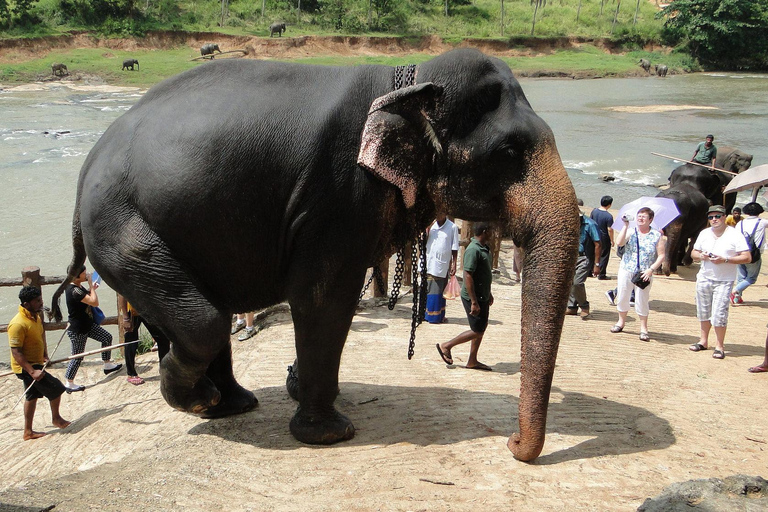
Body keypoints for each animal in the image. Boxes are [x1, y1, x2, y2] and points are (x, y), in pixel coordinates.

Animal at [51, 50, 580, 462]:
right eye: (509, 151)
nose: (512, 444)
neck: (407, 76)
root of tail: (84, 173)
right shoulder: (337, 195)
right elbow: (324, 299)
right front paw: (330, 434)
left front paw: (298, 388)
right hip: (122, 227)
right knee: (203, 320)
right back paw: (199, 400)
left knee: (204, 312)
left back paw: (229, 403)